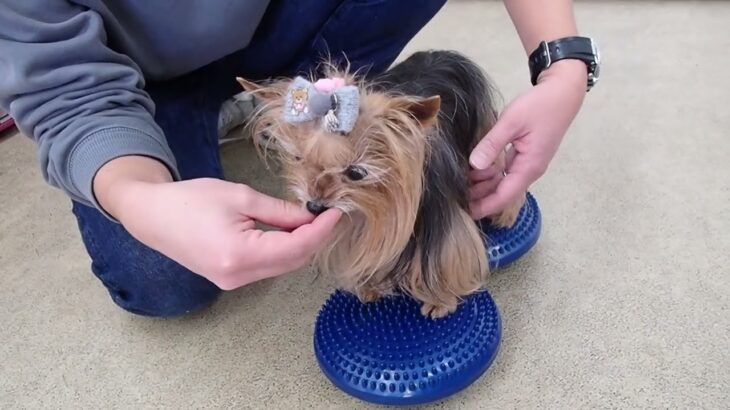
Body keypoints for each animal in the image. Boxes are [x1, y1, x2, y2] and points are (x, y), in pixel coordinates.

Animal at [237, 48, 524, 318]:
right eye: (299, 159)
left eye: (356, 172)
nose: (314, 206)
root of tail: (443, 54)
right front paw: (368, 287)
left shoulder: (439, 219)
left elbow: (449, 255)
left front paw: (440, 301)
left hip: (483, 138)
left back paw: (506, 213)